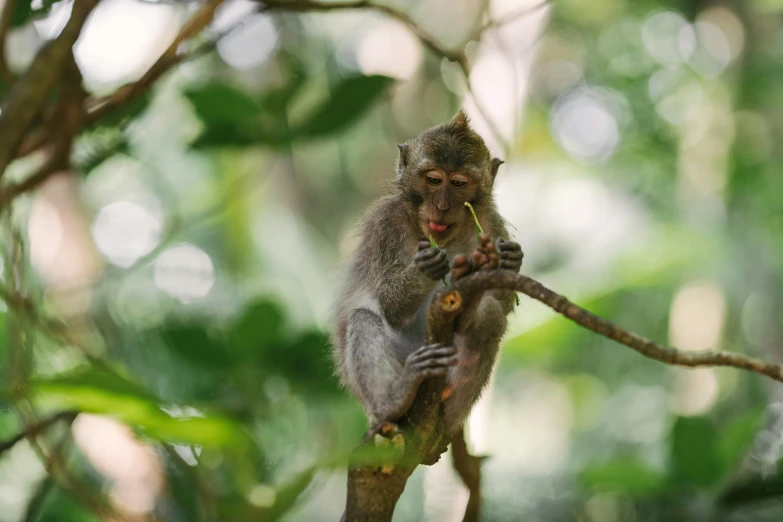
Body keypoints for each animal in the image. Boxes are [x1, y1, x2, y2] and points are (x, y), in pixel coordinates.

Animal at [328, 110, 524, 438]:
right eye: (433, 179)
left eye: (458, 183)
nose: (442, 206)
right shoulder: (387, 224)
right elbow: (390, 306)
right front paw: (428, 266)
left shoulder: (492, 224)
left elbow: (503, 305)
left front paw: (510, 260)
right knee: (363, 318)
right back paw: (395, 401)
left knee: (490, 315)